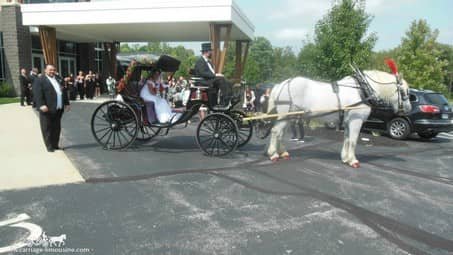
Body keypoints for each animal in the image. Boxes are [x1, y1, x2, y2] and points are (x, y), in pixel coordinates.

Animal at [264, 69, 410, 167]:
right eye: (403, 92)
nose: (408, 109)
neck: (362, 90)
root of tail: (282, 84)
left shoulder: (348, 122)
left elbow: (347, 139)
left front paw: (345, 158)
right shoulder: (356, 121)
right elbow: (353, 141)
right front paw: (353, 161)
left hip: (289, 116)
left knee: (280, 133)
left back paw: (282, 153)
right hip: (285, 115)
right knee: (275, 132)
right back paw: (273, 155)